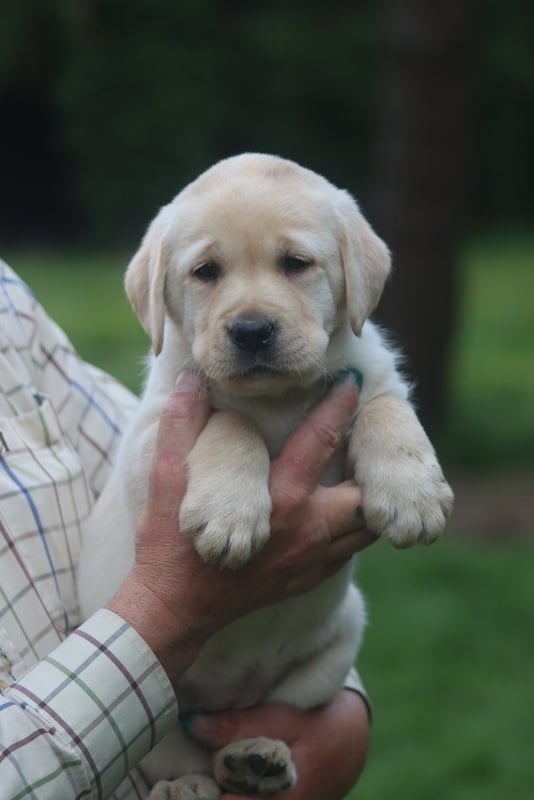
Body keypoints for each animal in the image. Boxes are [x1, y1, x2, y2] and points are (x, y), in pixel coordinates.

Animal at [77, 153, 454, 796]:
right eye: (206, 271)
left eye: (296, 263)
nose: (252, 331)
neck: (277, 400)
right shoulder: (150, 437)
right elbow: (231, 422)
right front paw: (229, 515)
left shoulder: (369, 374)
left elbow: (386, 408)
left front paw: (413, 494)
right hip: (158, 690)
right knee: (172, 752)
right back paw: (191, 783)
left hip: (336, 646)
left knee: (266, 717)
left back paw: (255, 756)